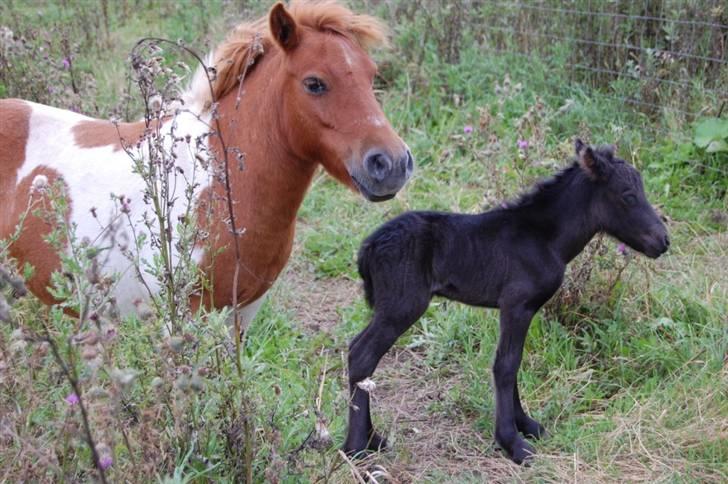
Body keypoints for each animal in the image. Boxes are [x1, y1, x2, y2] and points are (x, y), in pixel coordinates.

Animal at [0, 0, 410, 326]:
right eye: (314, 83)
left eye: (371, 75)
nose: (392, 164)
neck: (215, 184)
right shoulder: (184, 316)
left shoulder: (243, 312)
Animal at [346, 139, 672, 462]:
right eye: (628, 196)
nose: (664, 241)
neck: (545, 239)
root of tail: (367, 247)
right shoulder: (517, 304)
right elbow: (506, 364)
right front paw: (513, 442)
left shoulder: (519, 309)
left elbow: (512, 361)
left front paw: (526, 425)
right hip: (403, 305)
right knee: (362, 355)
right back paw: (356, 445)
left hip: (389, 306)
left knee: (355, 349)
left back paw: (373, 437)